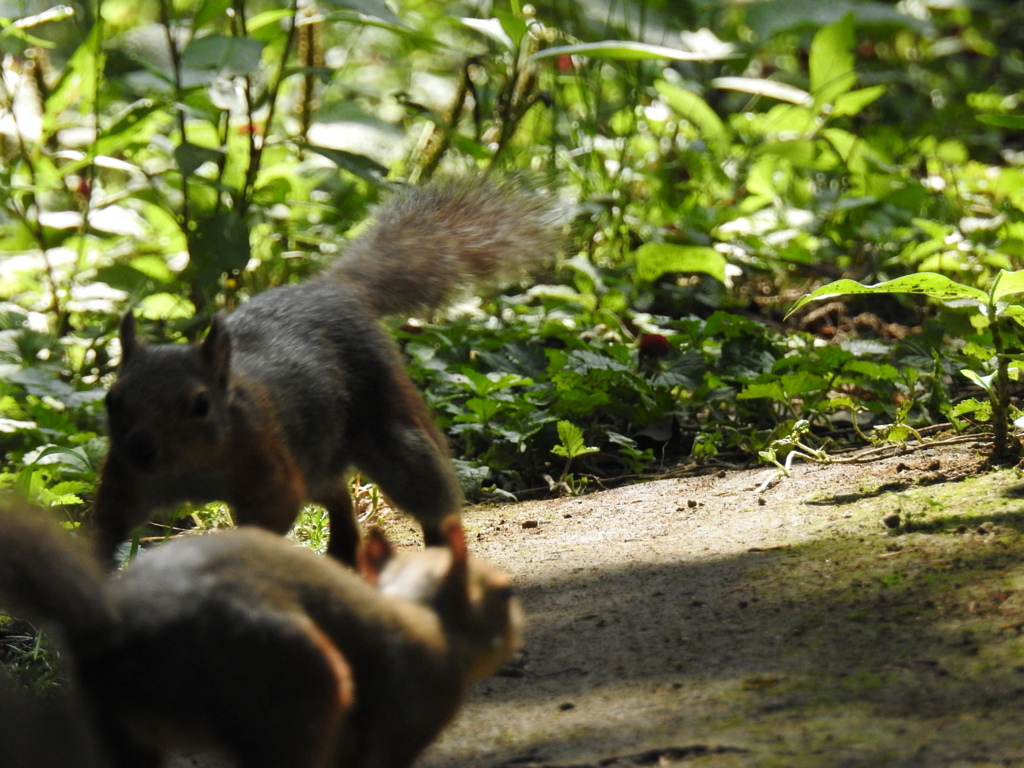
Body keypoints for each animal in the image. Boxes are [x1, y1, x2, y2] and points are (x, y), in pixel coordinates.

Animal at [0, 505, 524, 768]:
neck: (419, 611)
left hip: (117, 726)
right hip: (292, 684)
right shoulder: (409, 714)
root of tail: (115, 626)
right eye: (505, 592)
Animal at [93, 177, 565, 569]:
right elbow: (108, 521)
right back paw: (342, 551)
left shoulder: (267, 465)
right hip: (318, 456)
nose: (142, 450)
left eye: (201, 404)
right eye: (112, 400)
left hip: (388, 430)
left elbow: (275, 511)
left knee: (429, 492)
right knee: (338, 495)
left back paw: (442, 552)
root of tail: (331, 290)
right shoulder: (125, 482)